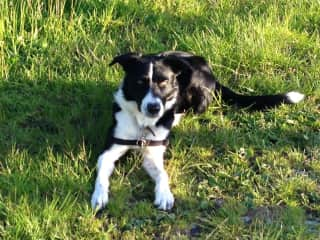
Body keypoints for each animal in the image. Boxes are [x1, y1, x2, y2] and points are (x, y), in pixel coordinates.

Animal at [90, 50, 304, 210]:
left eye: (163, 82)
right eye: (140, 82)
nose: (154, 108)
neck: (143, 124)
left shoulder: (153, 153)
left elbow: (162, 173)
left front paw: (164, 194)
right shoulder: (111, 149)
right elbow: (102, 174)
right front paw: (99, 195)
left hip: (194, 84)